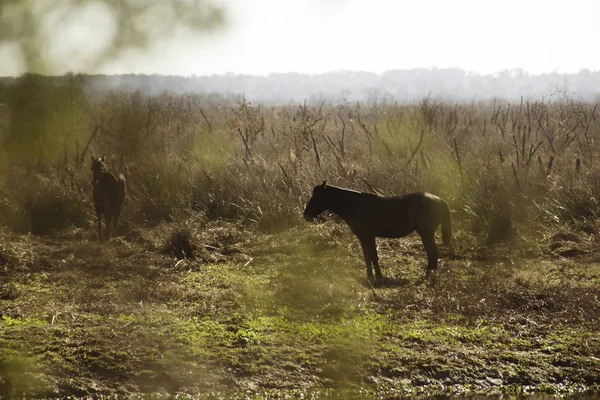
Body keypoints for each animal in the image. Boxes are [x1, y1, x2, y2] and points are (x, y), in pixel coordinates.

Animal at [302, 181, 452, 282]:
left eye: (318, 197)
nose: (306, 216)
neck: (355, 205)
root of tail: (439, 200)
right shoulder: (365, 238)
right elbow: (368, 256)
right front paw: (372, 276)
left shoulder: (367, 237)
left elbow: (372, 256)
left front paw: (376, 278)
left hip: (426, 233)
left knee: (432, 252)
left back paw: (428, 276)